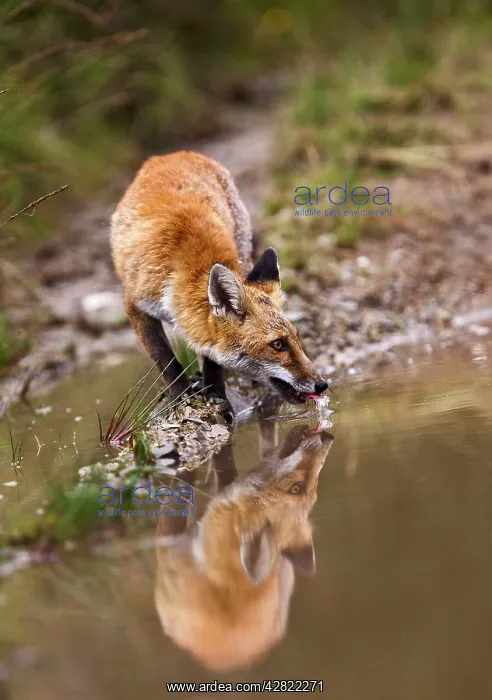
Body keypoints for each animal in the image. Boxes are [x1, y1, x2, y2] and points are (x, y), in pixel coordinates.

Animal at [110, 151, 328, 422]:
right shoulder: (135, 305)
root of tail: (172, 154)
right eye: (278, 345)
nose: (322, 385)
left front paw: (216, 396)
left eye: (297, 339)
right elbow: (166, 359)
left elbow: (211, 360)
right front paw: (179, 395)